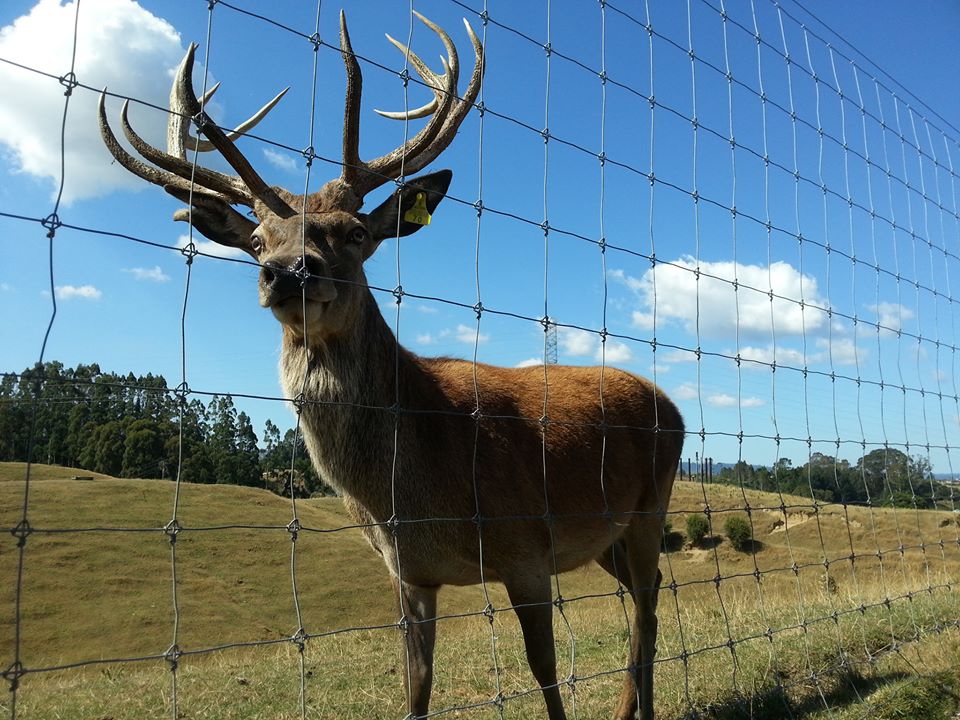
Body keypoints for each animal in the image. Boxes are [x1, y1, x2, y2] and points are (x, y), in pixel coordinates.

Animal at [99, 11, 684, 720]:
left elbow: (545, 670)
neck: (415, 490)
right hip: (609, 535)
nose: (287, 271)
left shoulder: (526, 548)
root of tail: (671, 405)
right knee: (645, 595)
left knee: (649, 599)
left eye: (354, 232)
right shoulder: (408, 573)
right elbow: (416, 684)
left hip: (652, 505)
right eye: (258, 241)